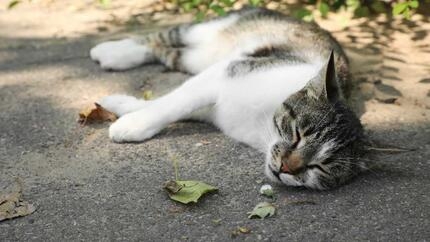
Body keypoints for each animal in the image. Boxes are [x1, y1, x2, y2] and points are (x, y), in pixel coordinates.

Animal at [89, 7, 364, 190]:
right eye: (298, 135)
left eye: (320, 166)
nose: (286, 167)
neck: (261, 128)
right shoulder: (227, 70)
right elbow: (173, 103)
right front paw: (132, 123)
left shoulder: (215, 102)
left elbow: (172, 102)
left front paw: (122, 107)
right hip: (212, 30)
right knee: (163, 37)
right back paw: (112, 51)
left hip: (195, 59)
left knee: (167, 52)